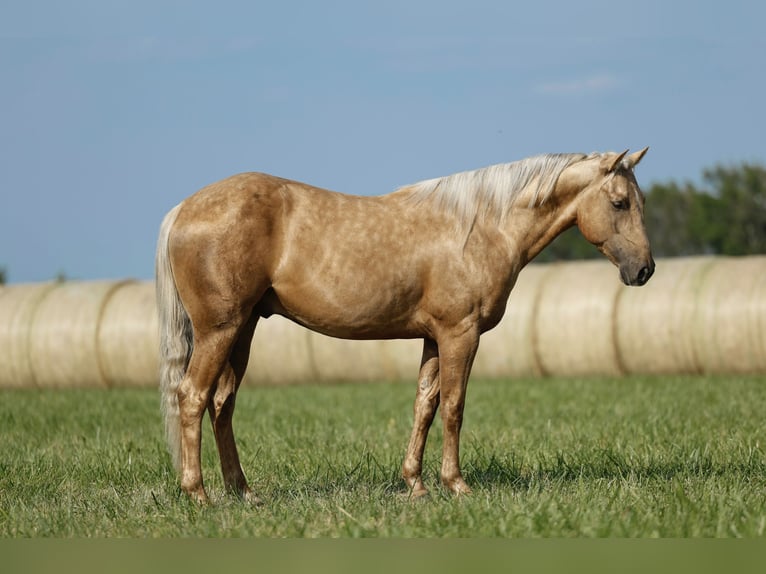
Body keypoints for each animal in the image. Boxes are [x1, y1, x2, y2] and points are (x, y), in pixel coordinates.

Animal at [154, 148, 656, 504]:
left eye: (639, 202)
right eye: (619, 202)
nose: (644, 270)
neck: (481, 227)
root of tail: (182, 209)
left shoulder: (433, 338)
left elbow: (425, 406)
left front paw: (415, 484)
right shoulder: (460, 333)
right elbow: (454, 406)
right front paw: (456, 484)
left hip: (243, 330)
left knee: (222, 404)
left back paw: (243, 492)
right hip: (220, 330)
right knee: (192, 397)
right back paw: (198, 495)